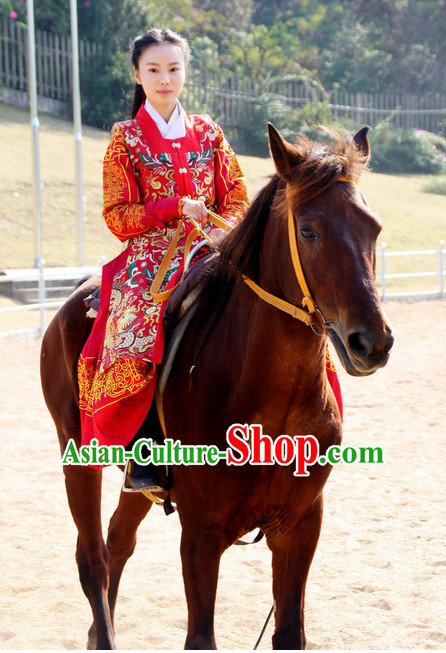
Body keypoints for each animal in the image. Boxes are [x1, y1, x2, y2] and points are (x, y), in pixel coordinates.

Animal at [39, 122, 394, 648]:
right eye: (308, 230)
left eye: (374, 228)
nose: (372, 341)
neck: (273, 410)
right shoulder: (202, 535)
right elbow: (200, 637)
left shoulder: (301, 527)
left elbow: (290, 633)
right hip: (77, 453)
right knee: (93, 559)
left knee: (118, 541)